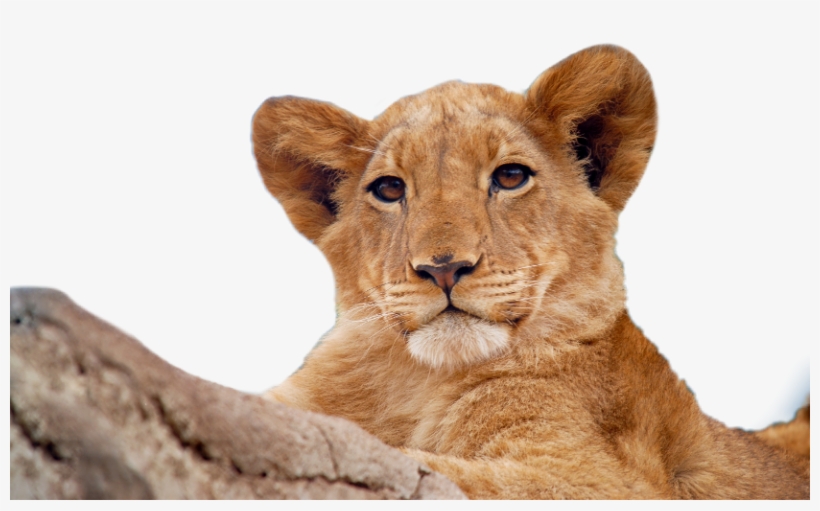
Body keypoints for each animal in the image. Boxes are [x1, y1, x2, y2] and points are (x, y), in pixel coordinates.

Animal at [251, 45, 809, 499]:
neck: (417, 383)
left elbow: (432, 470)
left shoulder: (600, 479)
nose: (444, 268)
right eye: (389, 189)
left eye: (511, 177)